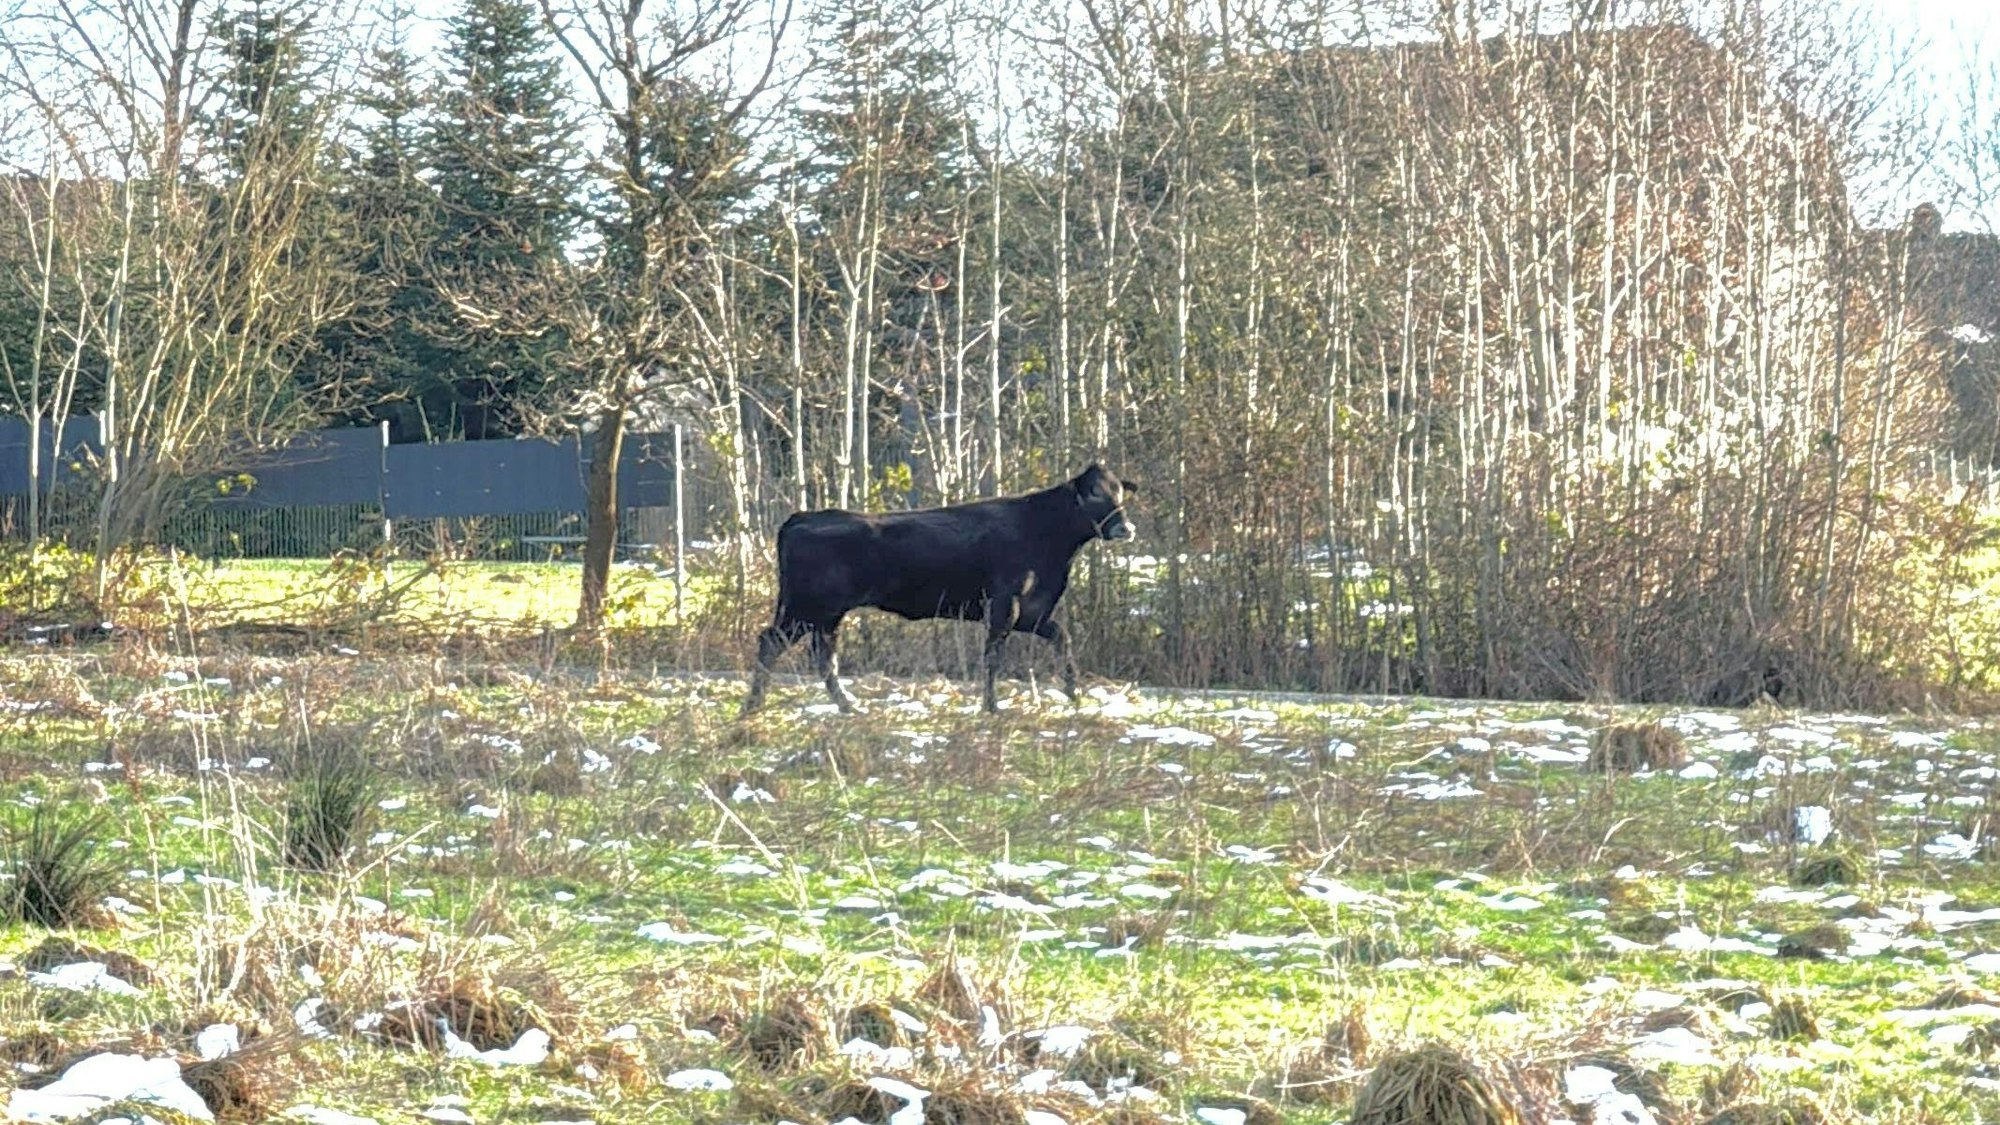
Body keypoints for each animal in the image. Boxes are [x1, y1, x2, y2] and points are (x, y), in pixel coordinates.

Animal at [740, 463, 1138, 716]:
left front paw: (1073, 692)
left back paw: (845, 706)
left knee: (824, 657)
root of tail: (801, 517)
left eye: (1120, 493)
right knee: (772, 642)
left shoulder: (1032, 612)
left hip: (825, 615)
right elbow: (993, 656)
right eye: (1093, 495)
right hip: (805, 609)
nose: (1126, 527)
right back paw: (754, 706)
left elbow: (1062, 637)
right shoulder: (1003, 604)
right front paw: (991, 707)